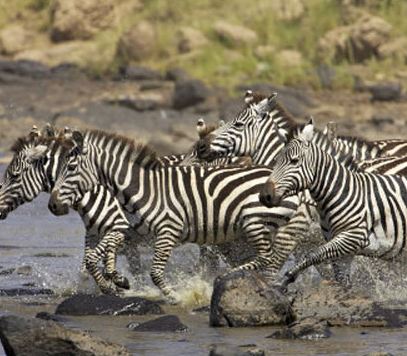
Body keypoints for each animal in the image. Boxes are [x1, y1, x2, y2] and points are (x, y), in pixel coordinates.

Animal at [47, 129, 302, 302]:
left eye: (70, 168)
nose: (52, 205)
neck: (145, 190)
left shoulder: (167, 232)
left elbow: (154, 272)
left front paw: (174, 296)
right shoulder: (129, 230)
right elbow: (99, 259)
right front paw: (118, 283)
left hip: (254, 223)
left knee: (266, 257)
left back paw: (226, 278)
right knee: (264, 259)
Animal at [258, 119, 407, 286]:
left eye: (294, 161)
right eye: (276, 161)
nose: (265, 196)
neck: (343, 192)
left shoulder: (354, 236)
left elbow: (313, 254)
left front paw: (288, 277)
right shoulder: (344, 248)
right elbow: (342, 281)